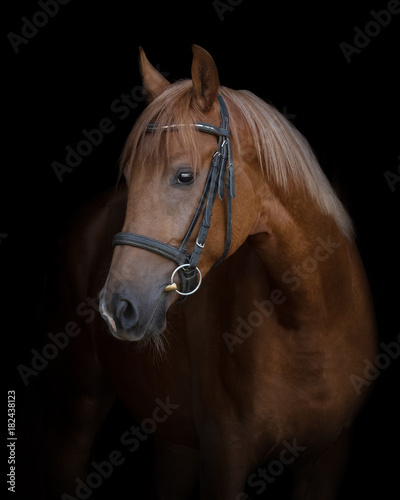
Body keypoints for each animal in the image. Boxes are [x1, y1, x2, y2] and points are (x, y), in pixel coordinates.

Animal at [44, 45, 378, 498]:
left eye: (184, 176)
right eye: (129, 177)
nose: (117, 307)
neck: (308, 322)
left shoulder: (326, 460)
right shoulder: (224, 456)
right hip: (79, 408)